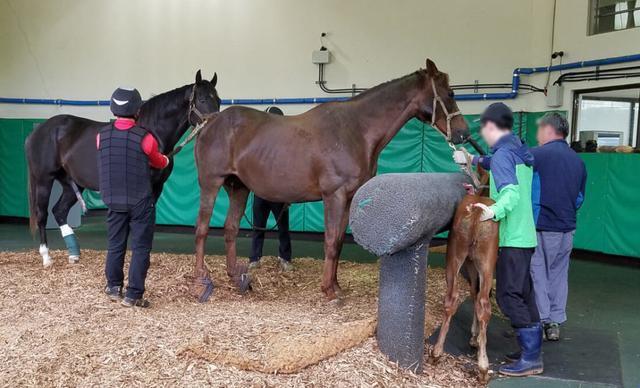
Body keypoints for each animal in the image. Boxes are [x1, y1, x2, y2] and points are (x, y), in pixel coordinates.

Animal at [26, 69, 221, 266]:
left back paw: (74, 254)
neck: (152, 131)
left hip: (72, 183)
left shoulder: (157, 187)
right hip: (43, 180)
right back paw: (46, 257)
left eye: (218, 100)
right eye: (202, 99)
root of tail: (38, 130)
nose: (215, 125)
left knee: (59, 211)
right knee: (42, 214)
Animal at [191, 57, 470, 302]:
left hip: (238, 188)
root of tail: (208, 124)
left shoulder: (348, 198)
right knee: (202, 229)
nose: (463, 134)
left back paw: (235, 277)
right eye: (450, 94)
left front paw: (335, 285)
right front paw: (328, 291)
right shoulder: (333, 195)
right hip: (211, 183)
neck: (356, 129)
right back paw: (201, 278)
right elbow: (330, 241)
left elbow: (338, 242)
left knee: (230, 229)